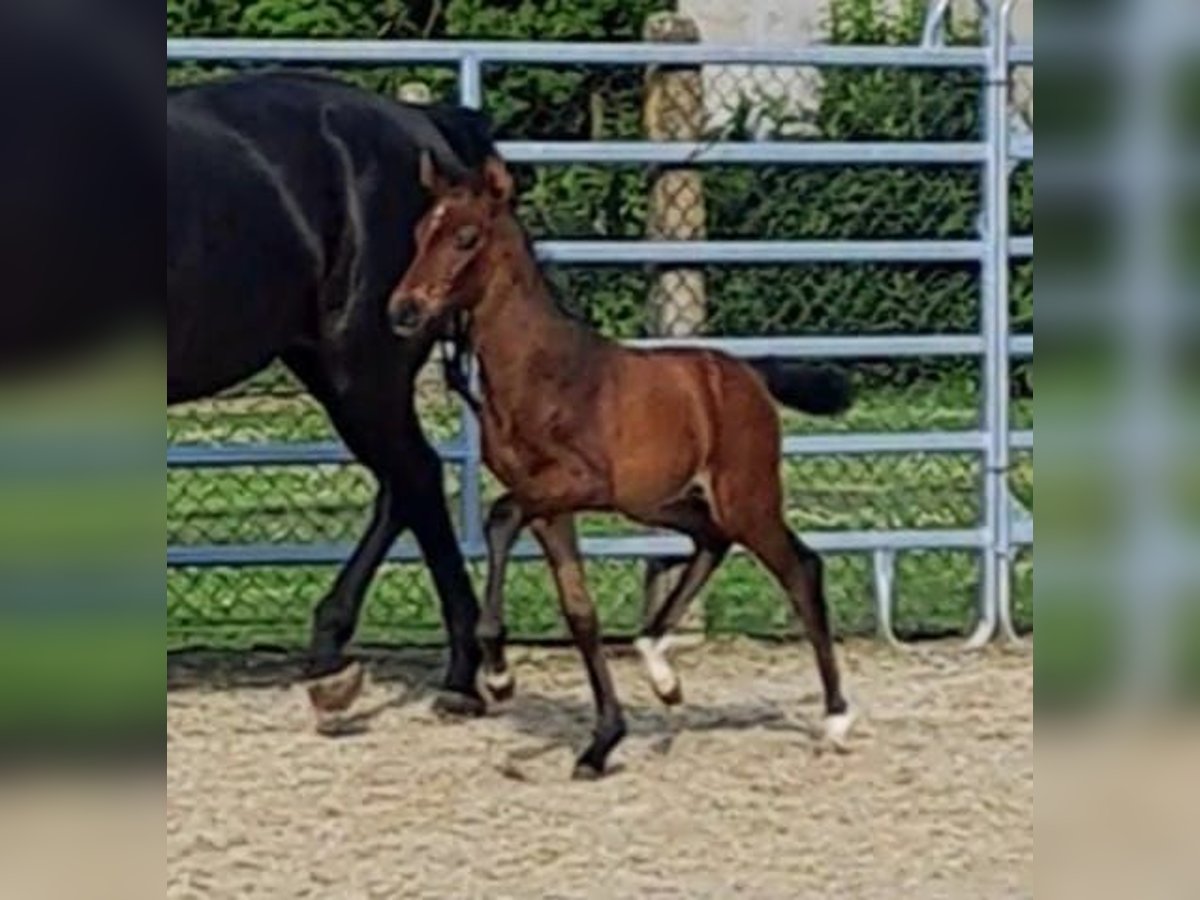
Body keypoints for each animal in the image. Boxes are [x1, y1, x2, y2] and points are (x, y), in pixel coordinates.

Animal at [388, 157, 859, 782]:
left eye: (465, 237)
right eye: (420, 233)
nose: (403, 310)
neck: (541, 374)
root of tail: (748, 375)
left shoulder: (575, 485)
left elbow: (499, 518)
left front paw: (500, 673)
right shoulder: (550, 505)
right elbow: (580, 613)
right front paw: (601, 742)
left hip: (746, 497)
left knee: (799, 568)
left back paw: (835, 720)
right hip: (665, 501)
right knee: (712, 541)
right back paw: (661, 670)